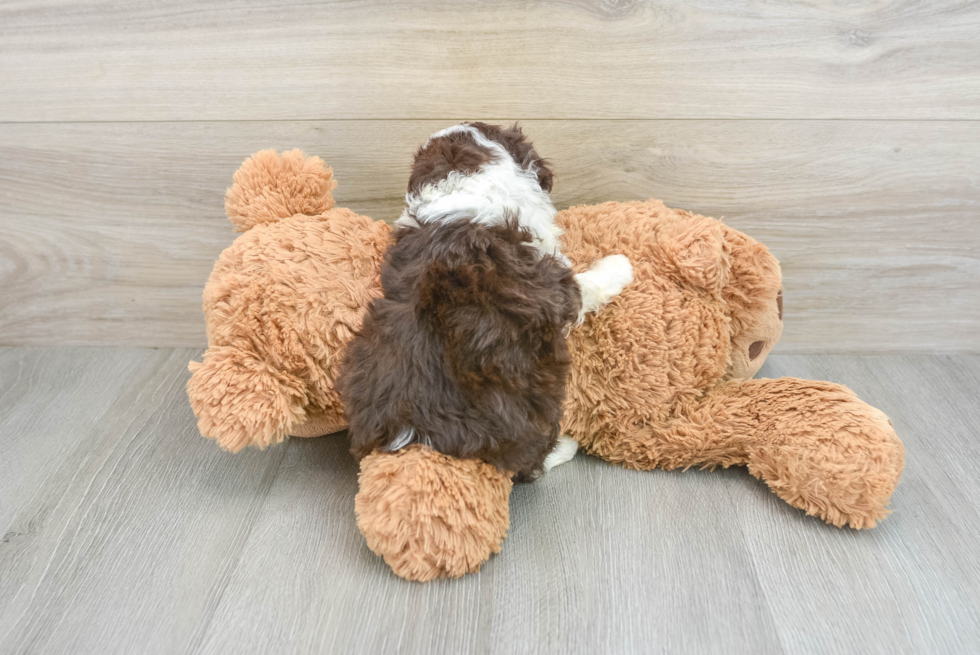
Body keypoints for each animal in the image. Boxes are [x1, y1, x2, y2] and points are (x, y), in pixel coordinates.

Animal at [338, 124, 636, 482]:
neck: (461, 181)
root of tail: (417, 434)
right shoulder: (550, 283)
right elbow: (586, 285)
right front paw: (620, 266)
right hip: (534, 398)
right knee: (529, 462)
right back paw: (566, 445)